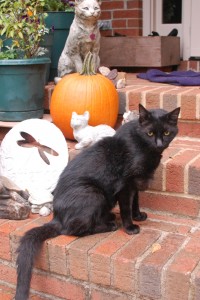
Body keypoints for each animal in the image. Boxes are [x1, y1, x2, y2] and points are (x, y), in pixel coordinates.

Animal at [15, 104, 180, 298]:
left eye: (167, 132)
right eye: (150, 133)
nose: (159, 143)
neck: (143, 147)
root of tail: (57, 217)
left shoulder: (136, 182)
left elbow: (136, 201)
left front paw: (138, 215)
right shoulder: (125, 185)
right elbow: (126, 208)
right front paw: (130, 227)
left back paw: (109, 218)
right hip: (94, 193)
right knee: (72, 229)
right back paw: (109, 225)